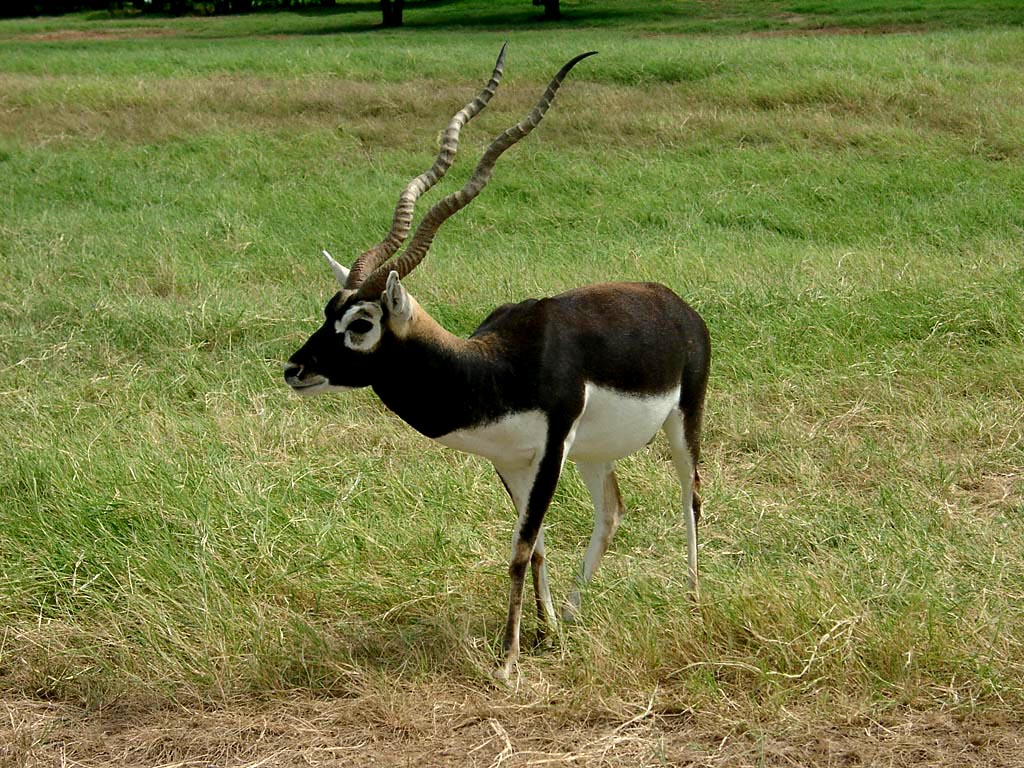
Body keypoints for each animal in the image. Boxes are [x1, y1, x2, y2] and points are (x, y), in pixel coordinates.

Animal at [284, 48, 708, 684]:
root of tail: (674, 302)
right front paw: (548, 633)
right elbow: (536, 548)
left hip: (683, 423)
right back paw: (577, 612)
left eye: (360, 323)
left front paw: (508, 662)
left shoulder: (551, 450)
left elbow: (518, 549)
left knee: (691, 497)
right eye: (328, 309)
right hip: (595, 453)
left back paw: (693, 599)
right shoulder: (512, 463)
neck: (493, 370)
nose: (295, 369)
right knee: (611, 511)